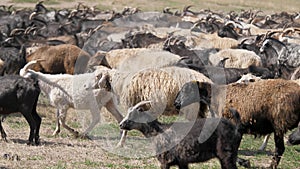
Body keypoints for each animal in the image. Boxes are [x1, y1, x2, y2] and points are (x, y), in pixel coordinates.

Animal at [118, 101, 247, 168]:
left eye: (134, 115)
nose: (121, 124)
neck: (159, 132)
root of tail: (236, 128)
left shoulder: (165, 161)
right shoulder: (182, 161)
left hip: (226, 155)